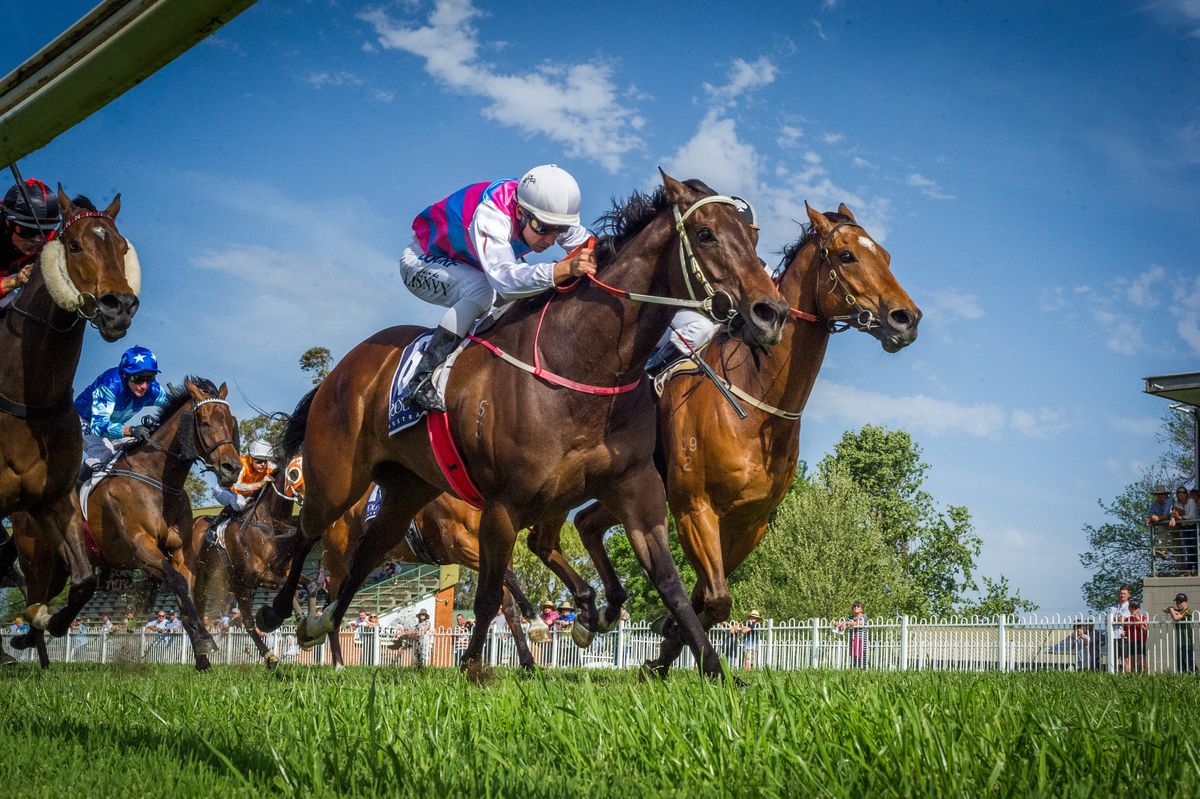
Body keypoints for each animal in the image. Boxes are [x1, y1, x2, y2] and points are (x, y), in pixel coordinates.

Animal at [0, 189, 141, 657]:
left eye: (122, 246)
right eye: (75, 244)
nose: (120, 306)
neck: (27, 402)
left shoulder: (51, 499)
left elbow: (83, 582)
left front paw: (43, 619)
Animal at [8, 374, 238, 667]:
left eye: (230, 421)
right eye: (205, 421)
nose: (232, 468)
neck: (157, 479)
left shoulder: (178, 551)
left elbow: (185, 592)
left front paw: (202, 657)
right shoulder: (140, 548)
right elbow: (175, 582)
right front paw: (204, 641)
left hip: (58, 568)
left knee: (43, 601)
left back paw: (33, 635)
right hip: (36, 563)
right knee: (34, 596)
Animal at [258, 171, 792, 676]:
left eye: (752, 235)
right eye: (705, 234)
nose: (771, 312)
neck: (582, 362)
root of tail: (343, 368)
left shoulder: (635, 487)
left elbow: (671, 584)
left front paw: (713, 671)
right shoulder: (502, 504)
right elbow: (491, 595)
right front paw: (476, 666)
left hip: (406, 488)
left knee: (367, 554)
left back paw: (321, 621)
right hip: (337, 476)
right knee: (306, 533)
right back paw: (280, 613)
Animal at [523, 200, 916, 671]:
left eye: (887, 256)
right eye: (847, 256)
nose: (907, 318)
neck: (755, 399)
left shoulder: (750, 519)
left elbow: (710, 598)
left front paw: (663, 649)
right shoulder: (695, 506)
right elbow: (715, 598)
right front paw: (668, 645)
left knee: (584, 523)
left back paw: (602, 610)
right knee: (543, 538)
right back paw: (576, 615)